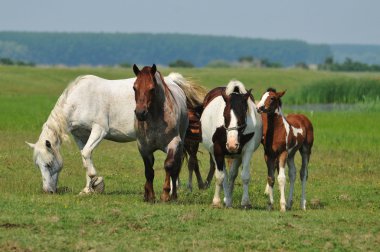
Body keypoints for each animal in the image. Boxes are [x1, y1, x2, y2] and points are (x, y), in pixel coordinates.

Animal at [26, 71, 205, 195]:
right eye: (38, 165)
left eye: (49, 164)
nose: (48, 191)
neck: (79, 100)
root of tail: (172, 82)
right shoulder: (81, 135)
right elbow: (85, 157)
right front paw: (88, 189)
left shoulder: (99, 130)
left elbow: (87, 154)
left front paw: (96, 181)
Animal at [133, 64, 205, 202]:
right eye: (134, 87)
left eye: (152, 89)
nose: (140, 113)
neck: (155, 118)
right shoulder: (143, 147)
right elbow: (149, 171)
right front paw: (150, 196)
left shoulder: (173, 143)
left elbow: (169, 166)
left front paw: (166, 194)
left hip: (181, 146)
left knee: (176, 168)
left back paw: (174, 195)